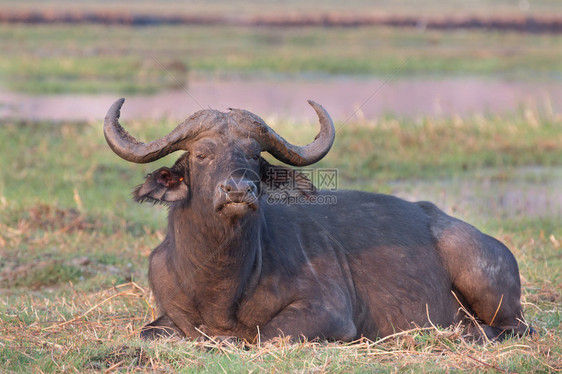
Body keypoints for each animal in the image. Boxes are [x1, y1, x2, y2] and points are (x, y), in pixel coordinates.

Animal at [104, 98, 528, 342]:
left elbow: (264, 335)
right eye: (202, 154)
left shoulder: (330, 315)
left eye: (253, 154)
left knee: (517, 326)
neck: (220, 281)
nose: (238, 190)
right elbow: (150, 333)